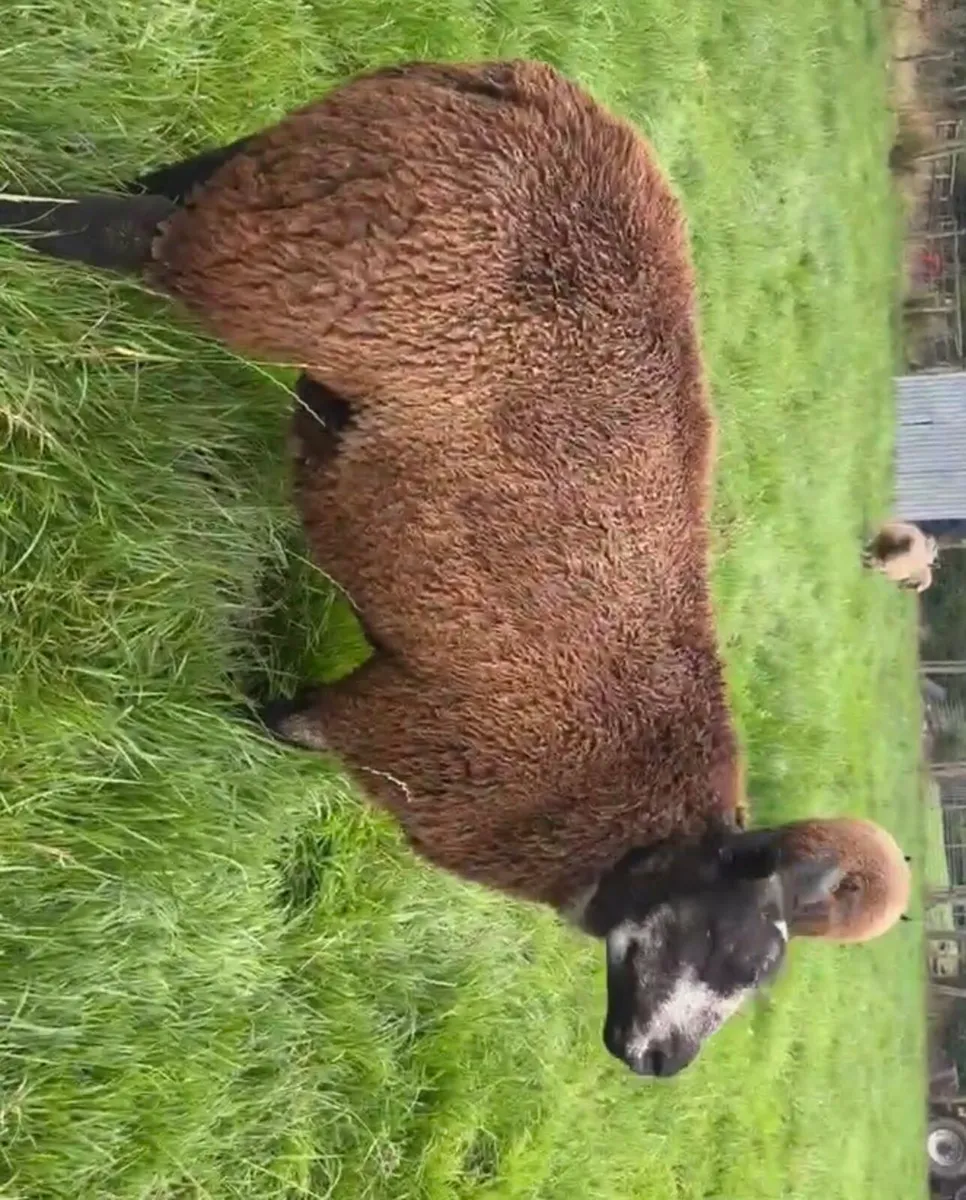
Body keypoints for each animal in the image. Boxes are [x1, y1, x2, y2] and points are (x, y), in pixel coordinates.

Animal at [0, 59, 912, 1078]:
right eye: (733, 941)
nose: (661, 1066)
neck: (618, 811)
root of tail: (520, 94)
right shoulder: (395, 728)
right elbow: (270, 722)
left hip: (288, 180)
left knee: (159, 188)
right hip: (284, 261)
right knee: (108, 231)